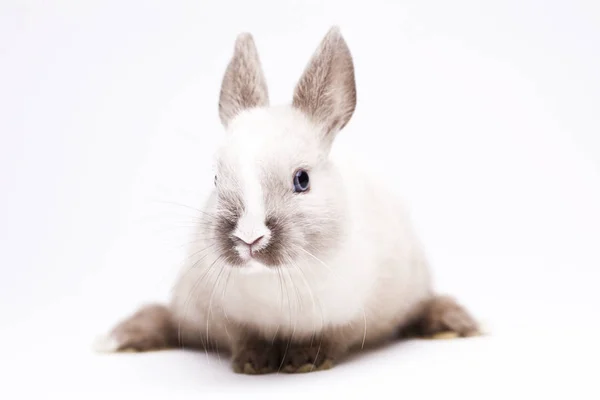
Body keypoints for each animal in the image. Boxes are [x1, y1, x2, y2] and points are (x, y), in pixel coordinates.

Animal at [95, 26, 478, 374]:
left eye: (302, 180)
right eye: (217, 179)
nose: (249, 238)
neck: (275, 281)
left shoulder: (352, 317)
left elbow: (330, 338)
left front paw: (303, 361)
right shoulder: (225, 316)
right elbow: (244, 338)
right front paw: (254, 363)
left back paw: (454, 326)